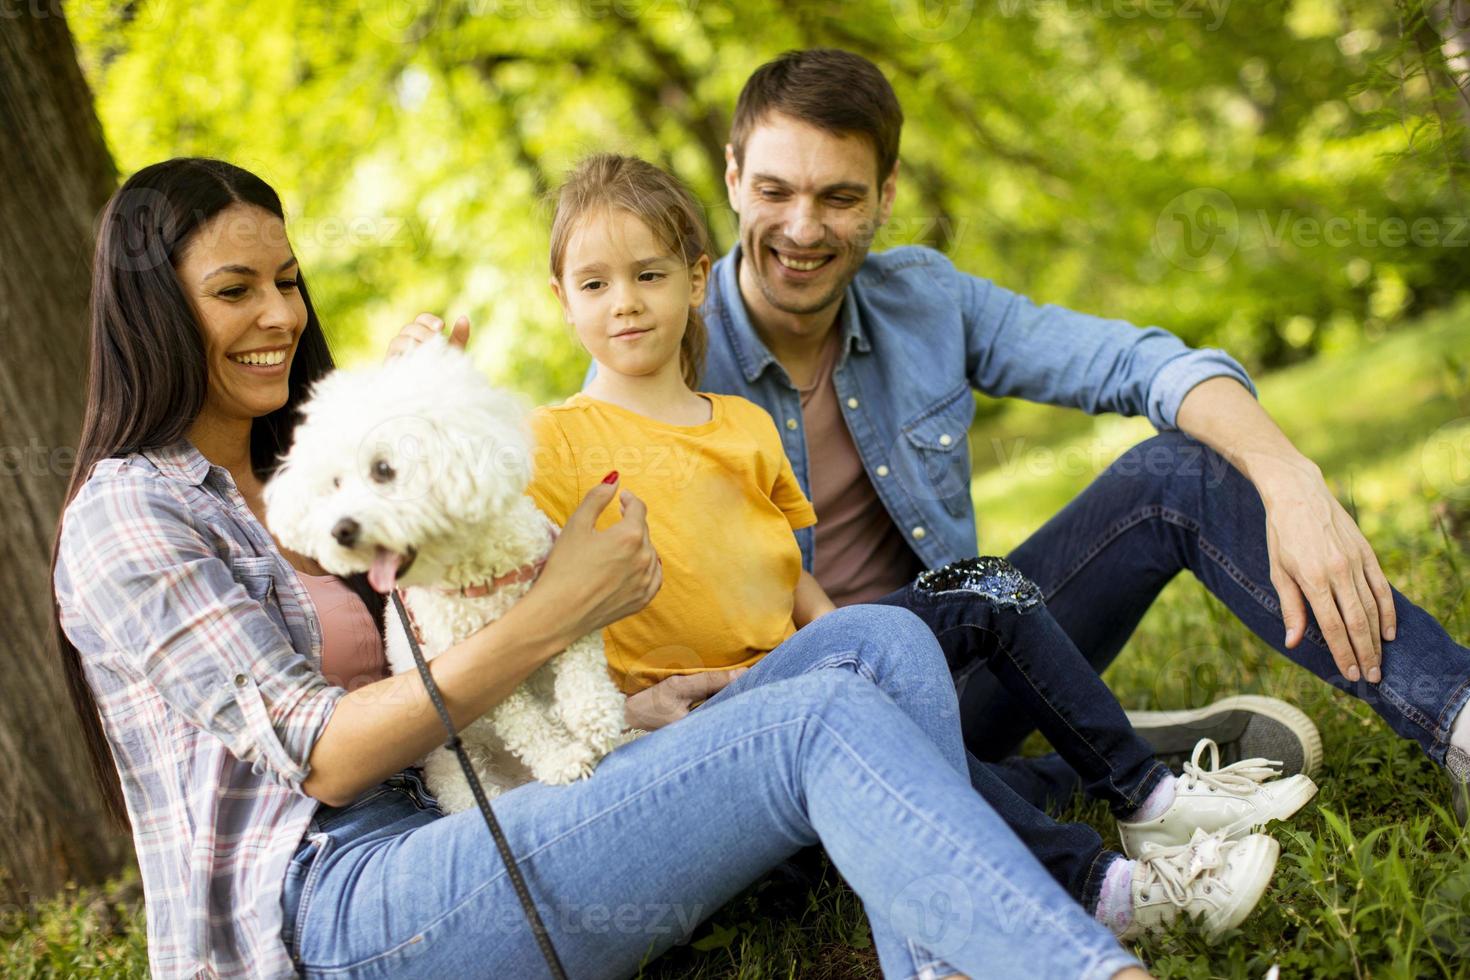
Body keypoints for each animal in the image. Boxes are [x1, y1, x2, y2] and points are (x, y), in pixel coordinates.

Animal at [264, 337, 626, 811]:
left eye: (383, 469)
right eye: (335, 484)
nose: (340, 530)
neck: (476, 572)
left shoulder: (569, 599)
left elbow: (580, 661)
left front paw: (595, 716)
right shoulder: (481, 669)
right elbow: (525, 723)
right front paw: (562, 758)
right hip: (458, 772)